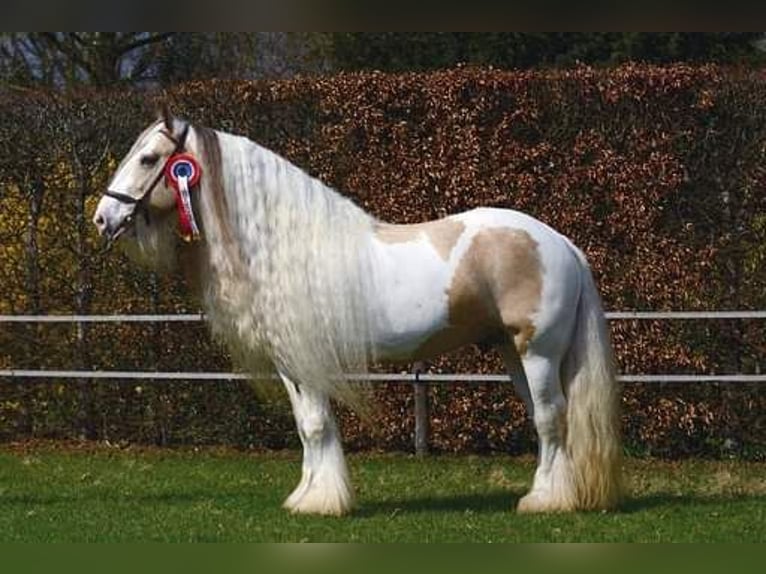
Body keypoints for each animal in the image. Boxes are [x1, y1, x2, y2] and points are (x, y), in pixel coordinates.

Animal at [93, 110, 623, 516]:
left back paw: (545, 501)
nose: (102, 218)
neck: (285, 244)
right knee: (546, 417)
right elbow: (307, 427)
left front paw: (321, 503)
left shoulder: (304, 360)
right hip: (513, 353)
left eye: (148, 159)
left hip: (537, 352)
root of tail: (560, 243)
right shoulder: (291, 364)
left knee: (551, 417)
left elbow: (316, 425)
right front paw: (305, 495)